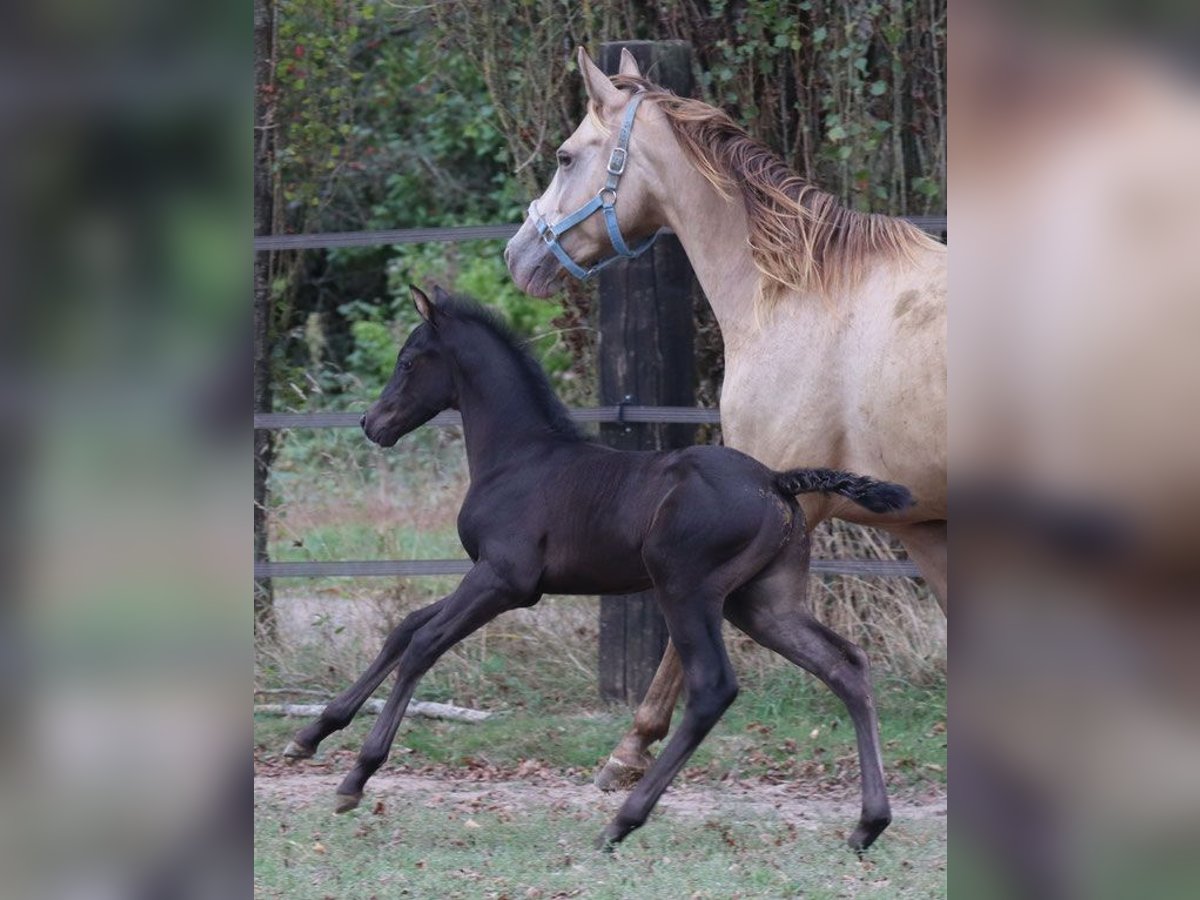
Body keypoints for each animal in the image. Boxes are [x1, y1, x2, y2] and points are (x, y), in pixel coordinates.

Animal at [283, 286, 907, 854]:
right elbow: (406, 627)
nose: (372, 422)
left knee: (713, 688)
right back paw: (868, 824)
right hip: (761, 604)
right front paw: (309, 735)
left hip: (686, 590)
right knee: (845, 666)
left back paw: (622, 820)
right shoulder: (491, 577)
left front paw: (357, 776)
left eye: (409, 361)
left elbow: (423, 644)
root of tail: (776, 481)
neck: (519, 457)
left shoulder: (505, 580)